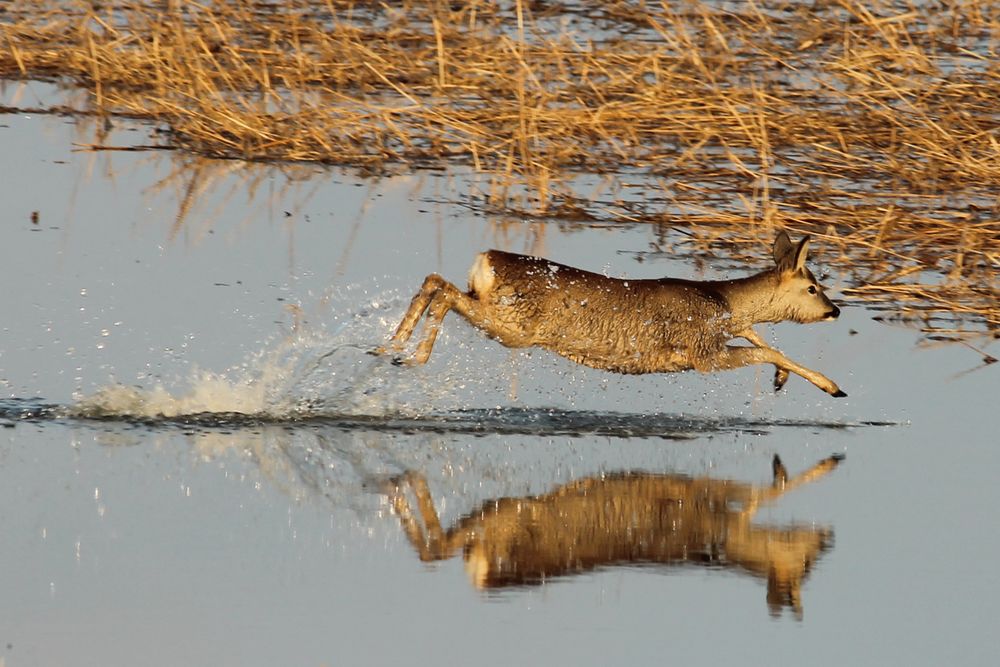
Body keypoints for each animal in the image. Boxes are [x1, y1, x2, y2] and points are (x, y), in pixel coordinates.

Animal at [378, 232, 848, 396]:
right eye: (813, 287)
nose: (835, 310)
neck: (723, 301)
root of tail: (486, 261)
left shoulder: (718, 339)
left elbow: (760, 337)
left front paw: (789, 379)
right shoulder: (700, 354)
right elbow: (765, 348)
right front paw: (832, 387)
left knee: (434, 280)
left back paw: (387, 347)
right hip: (514, 326)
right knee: (443, 293)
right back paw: (410, 355)